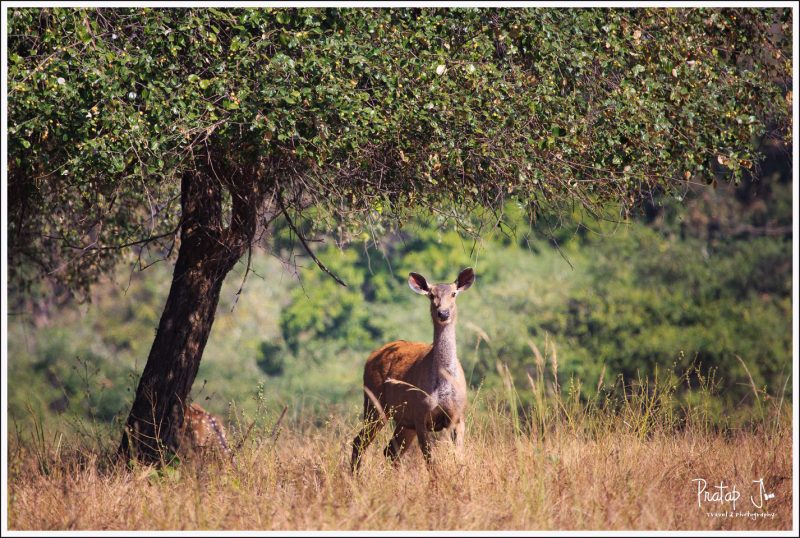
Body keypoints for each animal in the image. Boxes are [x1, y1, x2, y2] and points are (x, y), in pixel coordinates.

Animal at [352, 266, 476, 466]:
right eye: (431, 295)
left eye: (454, 293)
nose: (443, 313)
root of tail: (371, 356)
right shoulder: (421, 415)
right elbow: (431, 462)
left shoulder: (458, 416)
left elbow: (458, 458)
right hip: (374, 403)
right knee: (359, 442)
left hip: (403, 419)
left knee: (389, 450)